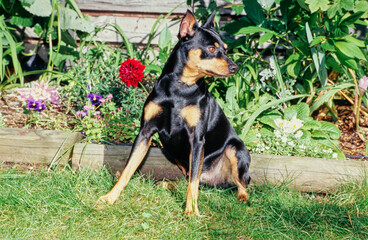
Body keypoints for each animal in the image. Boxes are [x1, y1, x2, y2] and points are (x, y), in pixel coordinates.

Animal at [99, 9, 252, 217]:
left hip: (237, 150)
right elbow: (127, 170)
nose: (234, 67)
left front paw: (191, 212)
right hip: (170, 150)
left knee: (239, 184)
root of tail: (212, 181)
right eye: (212, 49)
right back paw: (167, 184)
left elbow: (193, 184)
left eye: (226, 49)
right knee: (189, 178)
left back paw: (242, 198)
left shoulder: (197, 139)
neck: (180, 89)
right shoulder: (145, 132)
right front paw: (110, 197)